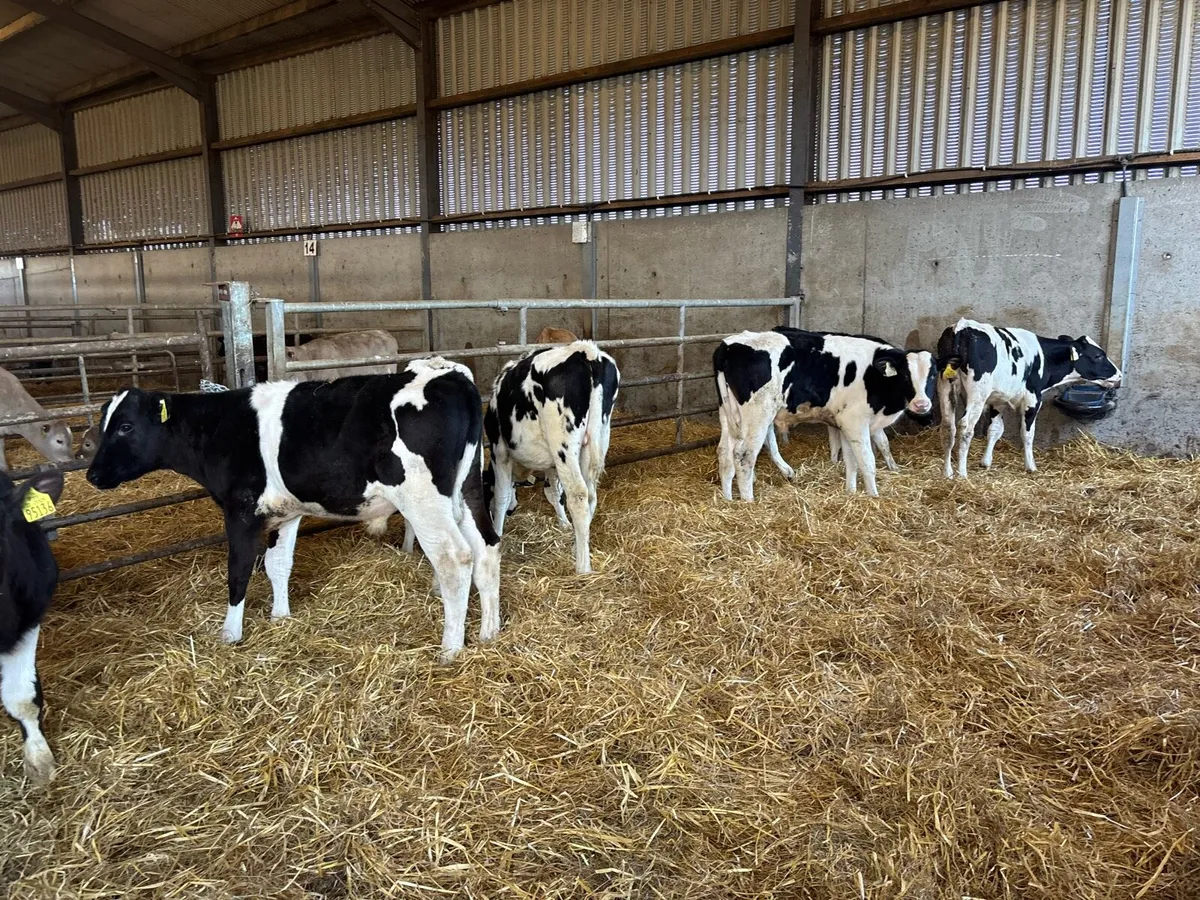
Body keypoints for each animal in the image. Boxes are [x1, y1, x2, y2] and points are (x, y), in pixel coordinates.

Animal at [86, 358, 501, 662]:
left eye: (125, 426)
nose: (92, 473)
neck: (219, 426)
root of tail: (451, 376)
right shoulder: (287, 512)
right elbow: (278, 564)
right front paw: (280, 616)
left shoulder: (240, 509)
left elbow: (239, 572)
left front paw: (230, 634)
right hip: (468, 489)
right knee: (487, 547)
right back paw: (489, 632)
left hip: (423, 499)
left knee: (455, 559)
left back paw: (450, 648)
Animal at [484, 341, 620, 575]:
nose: (513, 511)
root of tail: (586, 352)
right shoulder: (551, 464)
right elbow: (552, 492)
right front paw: (564, 523)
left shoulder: (499, 450)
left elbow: (501, 495)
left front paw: (497, 533)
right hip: (597, 438)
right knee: (591, 494)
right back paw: (578, 545)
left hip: (563, 444)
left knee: (578, 495)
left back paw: (583, 566)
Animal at [713, 329, 934, 501]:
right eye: (905, 375)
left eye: (932, 375)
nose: (922, 404)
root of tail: (729, 344)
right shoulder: (855, 421)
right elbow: (867, 461)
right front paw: (874, 496)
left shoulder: (844, 423)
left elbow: (852, 461)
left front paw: (851, 492)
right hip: (759, 413)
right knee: (744, 456)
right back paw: (748, 502)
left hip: (728, 413)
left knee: (725, 453)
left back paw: (728, 500)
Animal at [936, 319, 1121, 478]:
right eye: (1098, 356)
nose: (1119, 375)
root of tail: (961, 326)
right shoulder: (1033, 399)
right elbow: (1027, 433)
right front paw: (1030, 466)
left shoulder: (998, 400)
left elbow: (995, 429)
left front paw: (986, 462)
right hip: (978, 393)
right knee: (965, 427)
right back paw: (962, 474)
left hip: (946, 386)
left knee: (948, 426)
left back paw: (948, 473)